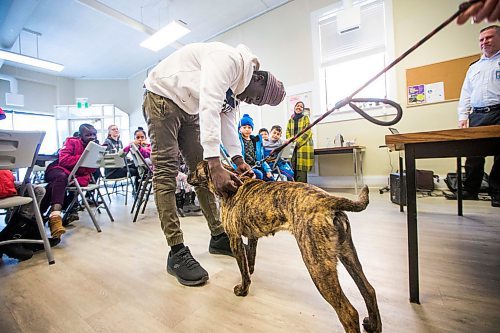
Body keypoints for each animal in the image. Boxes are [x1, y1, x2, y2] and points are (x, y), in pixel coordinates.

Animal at [188, 160, 382, 330]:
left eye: (196, 169)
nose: (187, 174)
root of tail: (327, 199)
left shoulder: (234, 239)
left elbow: (243, 270)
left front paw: (243, 289)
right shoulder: (252, 237)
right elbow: (250, 259)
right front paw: (250, 272)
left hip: (317, 266)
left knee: (348, 313)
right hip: (348, 253)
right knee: (369, 290)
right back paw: (373, 325)